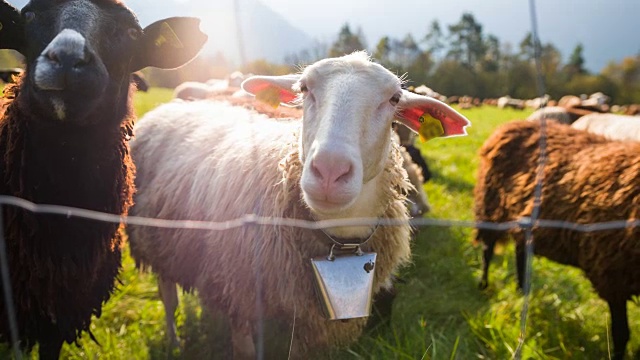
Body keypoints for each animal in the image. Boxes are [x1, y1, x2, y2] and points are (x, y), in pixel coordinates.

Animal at [129, 51, 470, 358]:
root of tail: (177, 105)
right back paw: (173, 343)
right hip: (153, 237)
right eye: (305, 88)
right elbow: (244, 349)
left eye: (394, 99)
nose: (330, 170)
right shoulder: (240, 292)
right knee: (168, 298)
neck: (338, 239)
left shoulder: (309, 318)